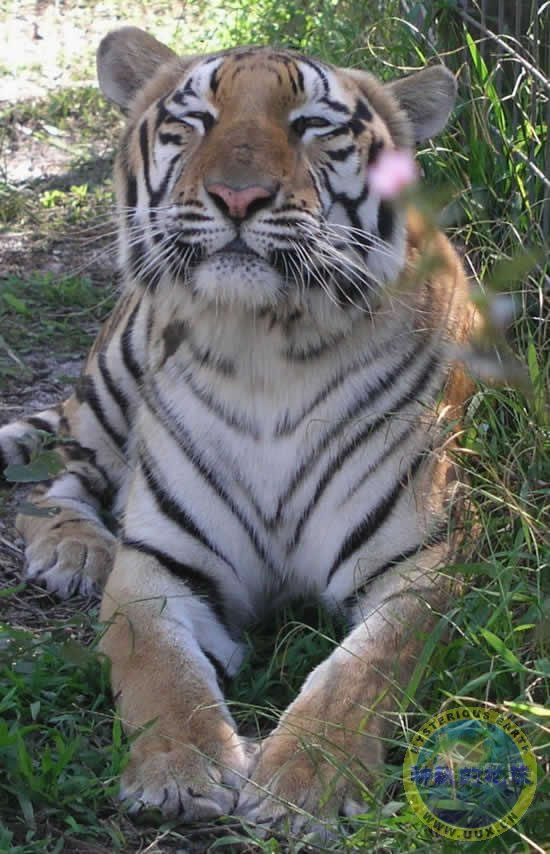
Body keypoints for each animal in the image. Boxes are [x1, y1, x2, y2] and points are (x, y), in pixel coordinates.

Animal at [0, 26, 476, 833]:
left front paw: (304, 784)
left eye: (311, 126)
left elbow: (361, 673)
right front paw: (178, 772)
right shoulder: (160, 565)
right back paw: (74, 550)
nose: (239, 198)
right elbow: (158, 671)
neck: (266, 354)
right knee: (55, 480)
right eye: (195, 121)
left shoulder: (424, 559)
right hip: (112, 381)